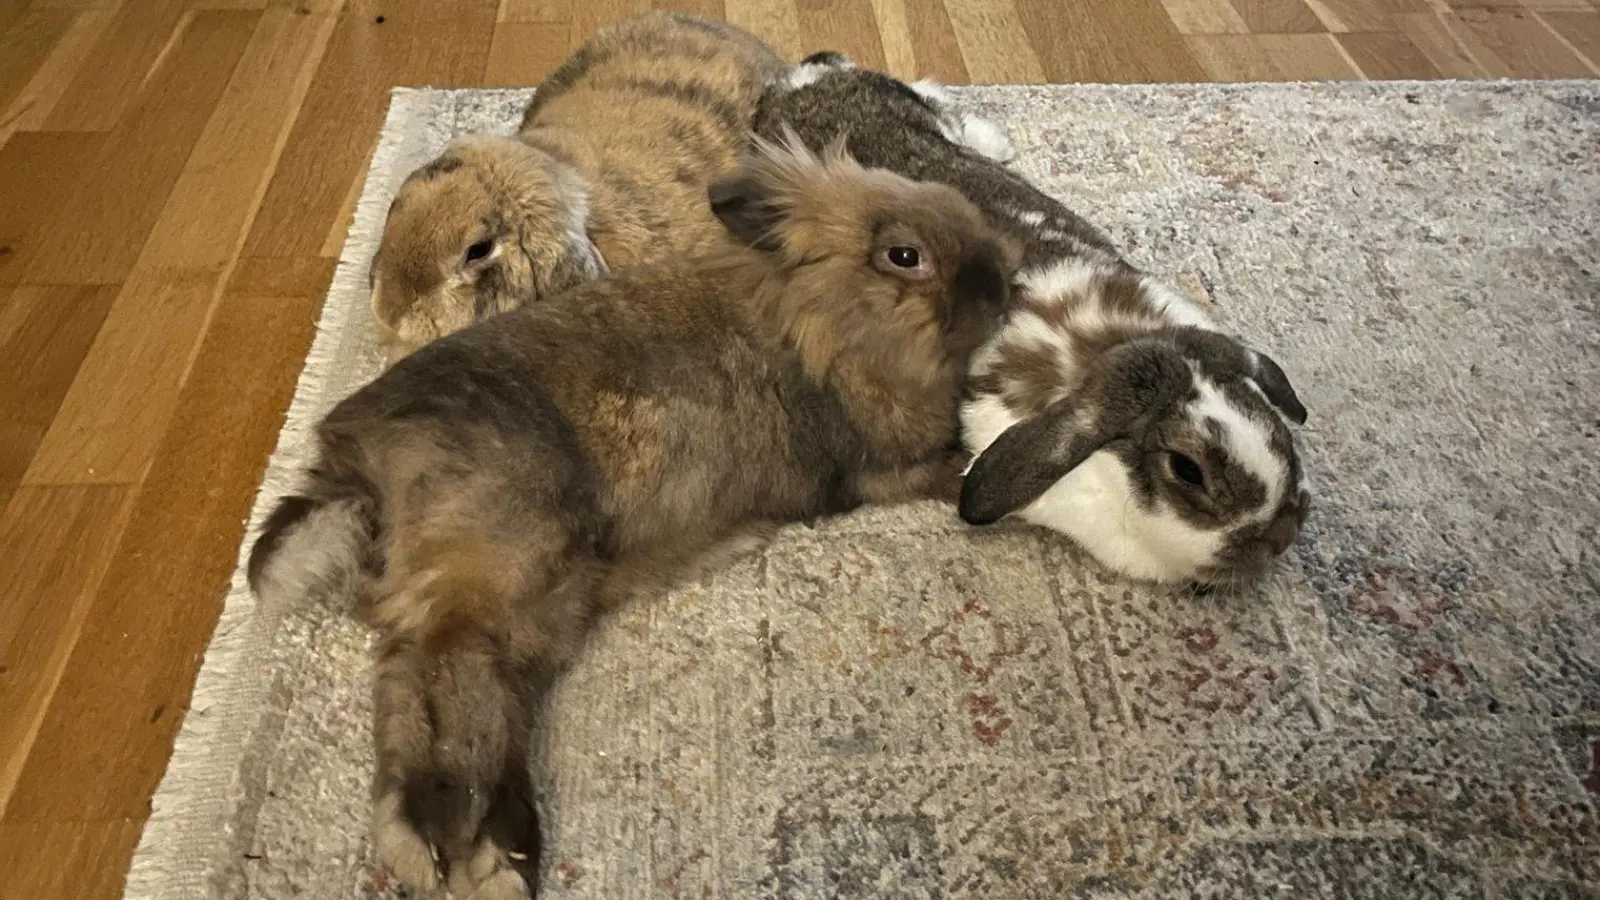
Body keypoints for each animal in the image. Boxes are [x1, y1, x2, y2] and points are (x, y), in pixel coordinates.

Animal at [240, 134, 1011, 896]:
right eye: (904, 257)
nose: (1003, 287)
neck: (816, 310)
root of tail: (356, 458)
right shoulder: (883, 468)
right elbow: (942, 468)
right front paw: (981, 463)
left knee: (414, 684)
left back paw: (439, 848)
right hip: (508, 565)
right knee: (452, 677)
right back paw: (489, 856)